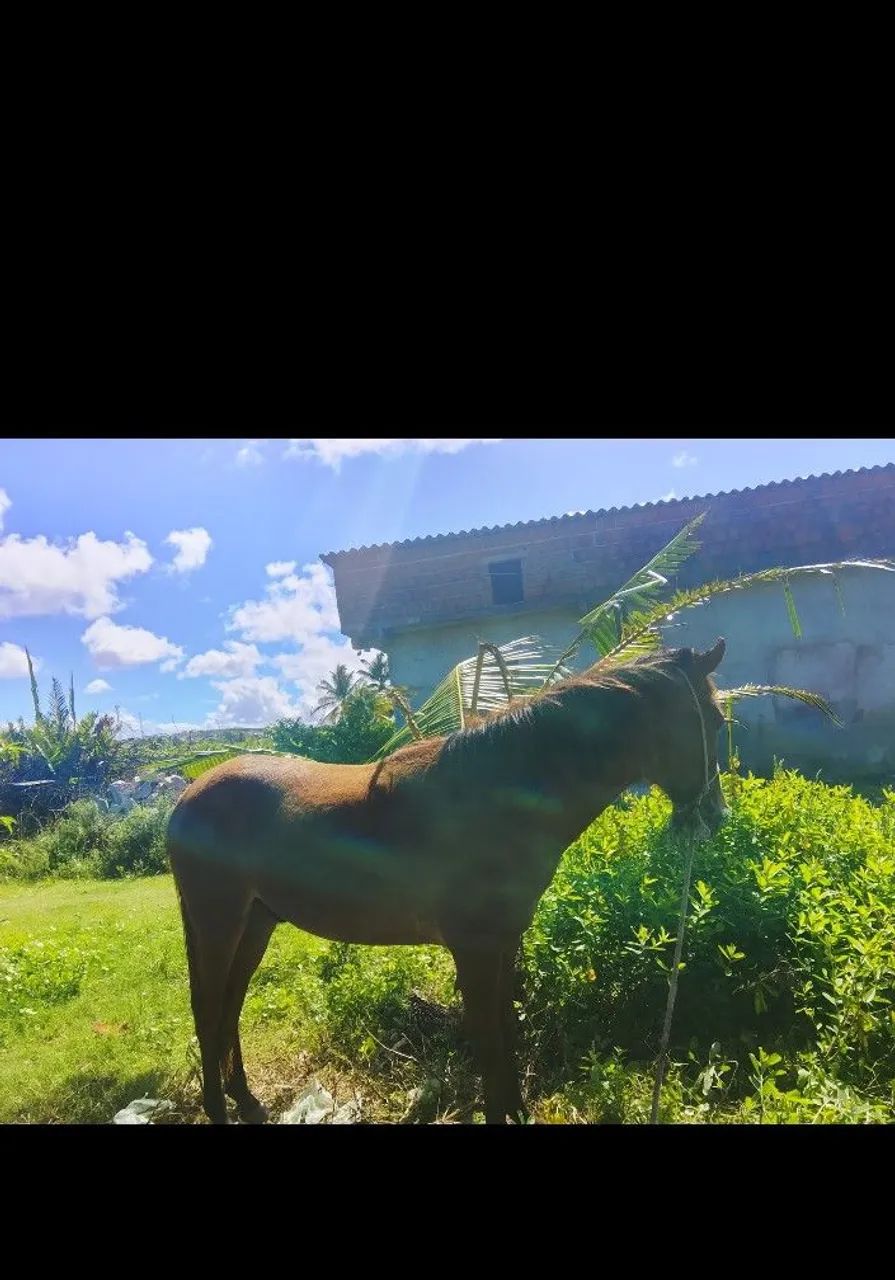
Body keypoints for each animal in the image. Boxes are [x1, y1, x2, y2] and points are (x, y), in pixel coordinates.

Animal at [167, 637, 728, 1124]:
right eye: (717, 722)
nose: (716, 816)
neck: (494, 798)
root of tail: (186, 798)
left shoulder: (504, 942)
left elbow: (505, 1024)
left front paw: (517, 1110)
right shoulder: (474, 948)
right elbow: (488, 1038)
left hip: (257, 923)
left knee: (230, 1007)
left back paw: (246, 1101)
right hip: (219, 925)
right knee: (208, 1008)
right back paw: (218, 1109)